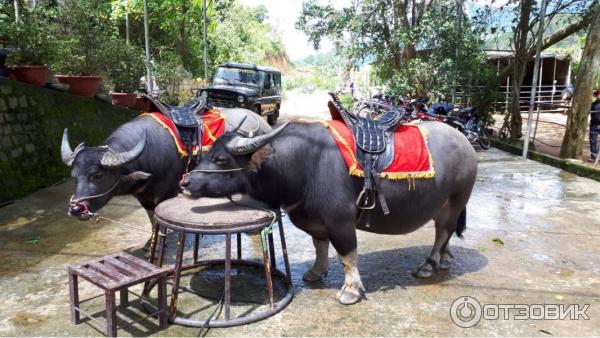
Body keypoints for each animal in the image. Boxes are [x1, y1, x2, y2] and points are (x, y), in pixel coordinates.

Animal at [59, 109, 270, 224]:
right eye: (74, 177)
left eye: (97, 175)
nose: (76, 209)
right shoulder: (144, 196)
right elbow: (152, 218)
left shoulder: (167, 191)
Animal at [180, 121, 476, 304]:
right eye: (207, 152)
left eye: (220, 159)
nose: (186, 182)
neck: (300, 165)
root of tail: (466, 144)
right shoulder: (316, 220)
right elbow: (320, 247)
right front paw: (315, 272)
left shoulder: (340, 221)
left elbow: (347, 256)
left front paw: (351, 291)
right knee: (445, 232)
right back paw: (445, 258)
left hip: (456, 199)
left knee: (443, 231)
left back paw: (429, 264)